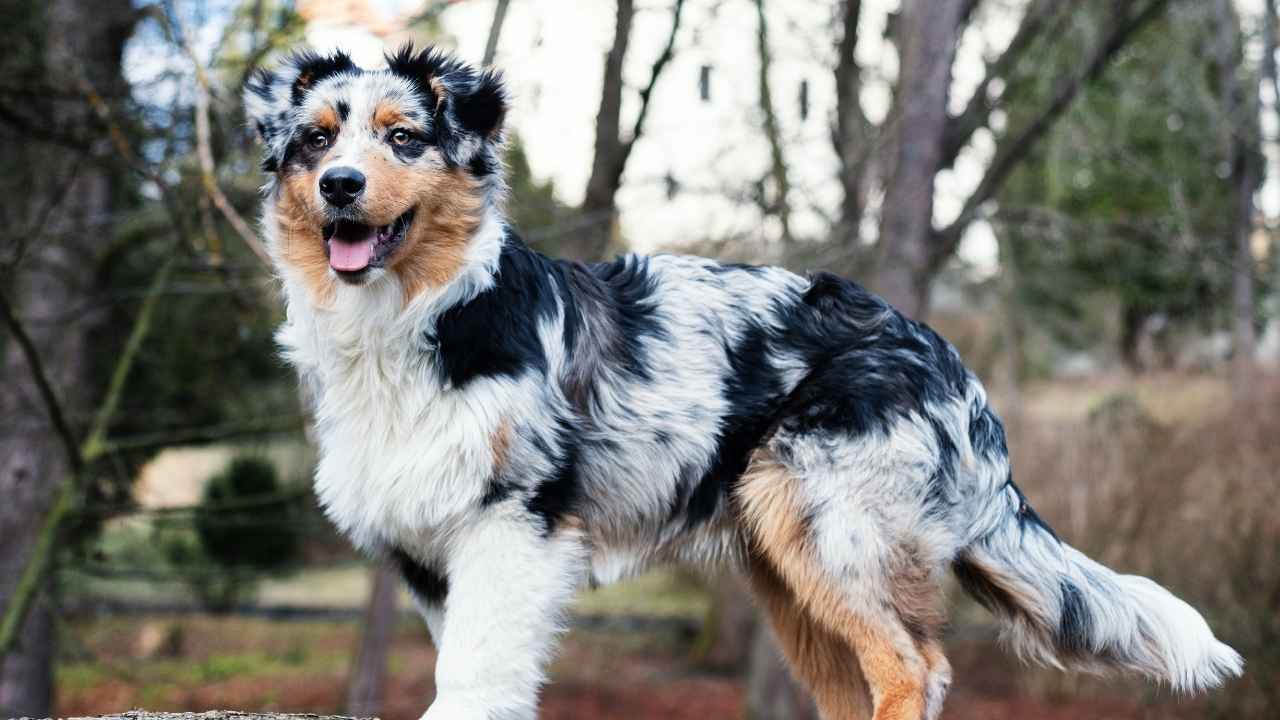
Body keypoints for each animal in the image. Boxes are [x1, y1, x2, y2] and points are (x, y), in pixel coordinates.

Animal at [247, 46, 1239, 717]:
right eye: (317, 141)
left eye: (403, 137)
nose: (340, 186)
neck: (417, 319)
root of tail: (951, 361)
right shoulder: (428, 549)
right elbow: (479, 671)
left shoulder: (511, 522)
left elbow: (474, 676)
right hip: (787, 564)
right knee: (860, 685)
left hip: (835, 529)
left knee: (915, 668)